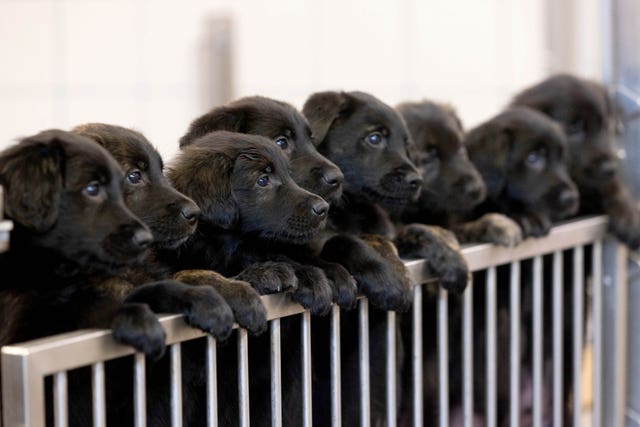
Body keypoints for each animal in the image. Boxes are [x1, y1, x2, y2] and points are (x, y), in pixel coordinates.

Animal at [510, 72, 640, 249]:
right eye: (573, 128)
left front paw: (629, 213)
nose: (610, 169)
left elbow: (611, 188)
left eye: (604, 126)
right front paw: (525, 215)